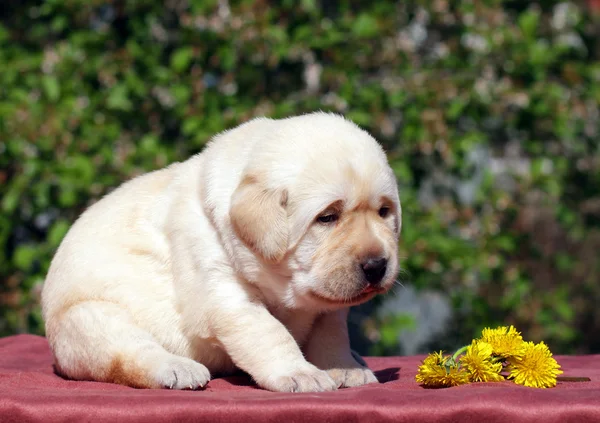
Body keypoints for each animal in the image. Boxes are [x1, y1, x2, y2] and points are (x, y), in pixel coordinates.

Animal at [39, 112, 400, 394]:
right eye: (327, 217)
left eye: (384, 212)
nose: (377, 265)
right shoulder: (223, 289)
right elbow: (270, 332)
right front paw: (301, 373)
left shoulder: (328, 307)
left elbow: (332, 335)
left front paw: (346, 368)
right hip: (89, 318)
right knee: (130, 350)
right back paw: (178, 369)